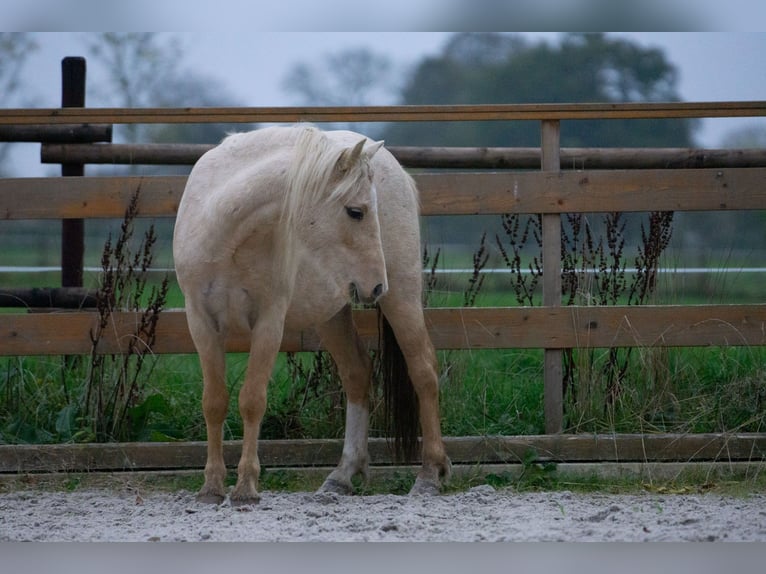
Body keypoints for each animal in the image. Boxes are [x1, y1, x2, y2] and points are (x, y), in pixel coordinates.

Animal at [172, 125, 456, 504]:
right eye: (356, 212)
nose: (376, 285)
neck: (225, 234)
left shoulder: (269, 321)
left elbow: (252, 400)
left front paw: (246, 487)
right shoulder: (201, 322)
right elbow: (214, 402)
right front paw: (212, 488)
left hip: (403, 297)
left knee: (423, 370)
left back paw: (429, 474)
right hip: (331, 313)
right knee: (357, 373)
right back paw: (342, 476)